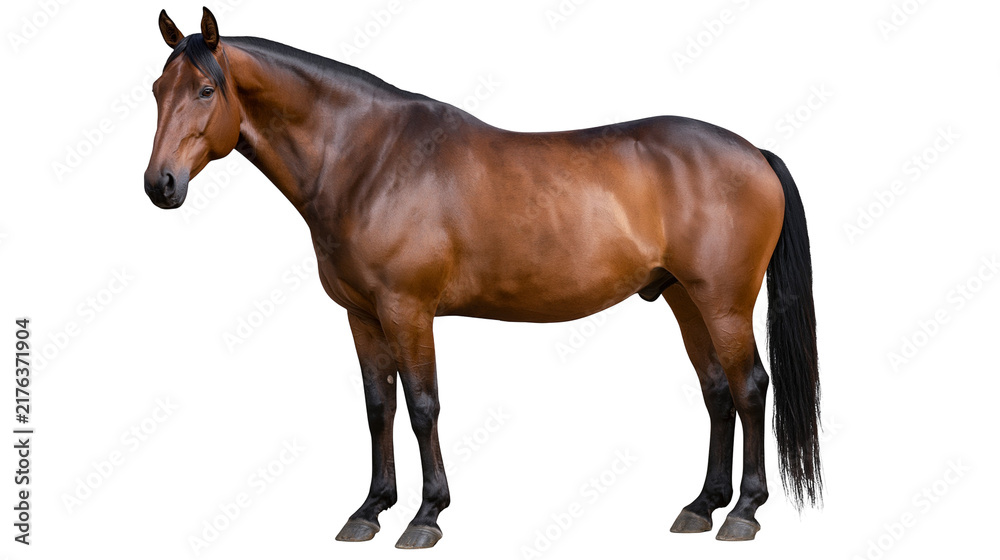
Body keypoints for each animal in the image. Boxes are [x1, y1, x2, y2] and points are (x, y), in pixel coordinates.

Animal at [144, 8, 822, 548]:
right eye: (156, 89)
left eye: (205, 89)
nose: (160, 185)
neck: (367, 159)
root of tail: (754, 152)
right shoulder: (362, 315)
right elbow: (378, 407)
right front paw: (370, 510)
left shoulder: (407, 308)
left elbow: (422, 406)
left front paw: (426, 515)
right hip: (685, 300)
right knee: (716, 392)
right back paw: (701, 505)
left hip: (725, 303)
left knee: (749, 387)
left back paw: (744, 511)